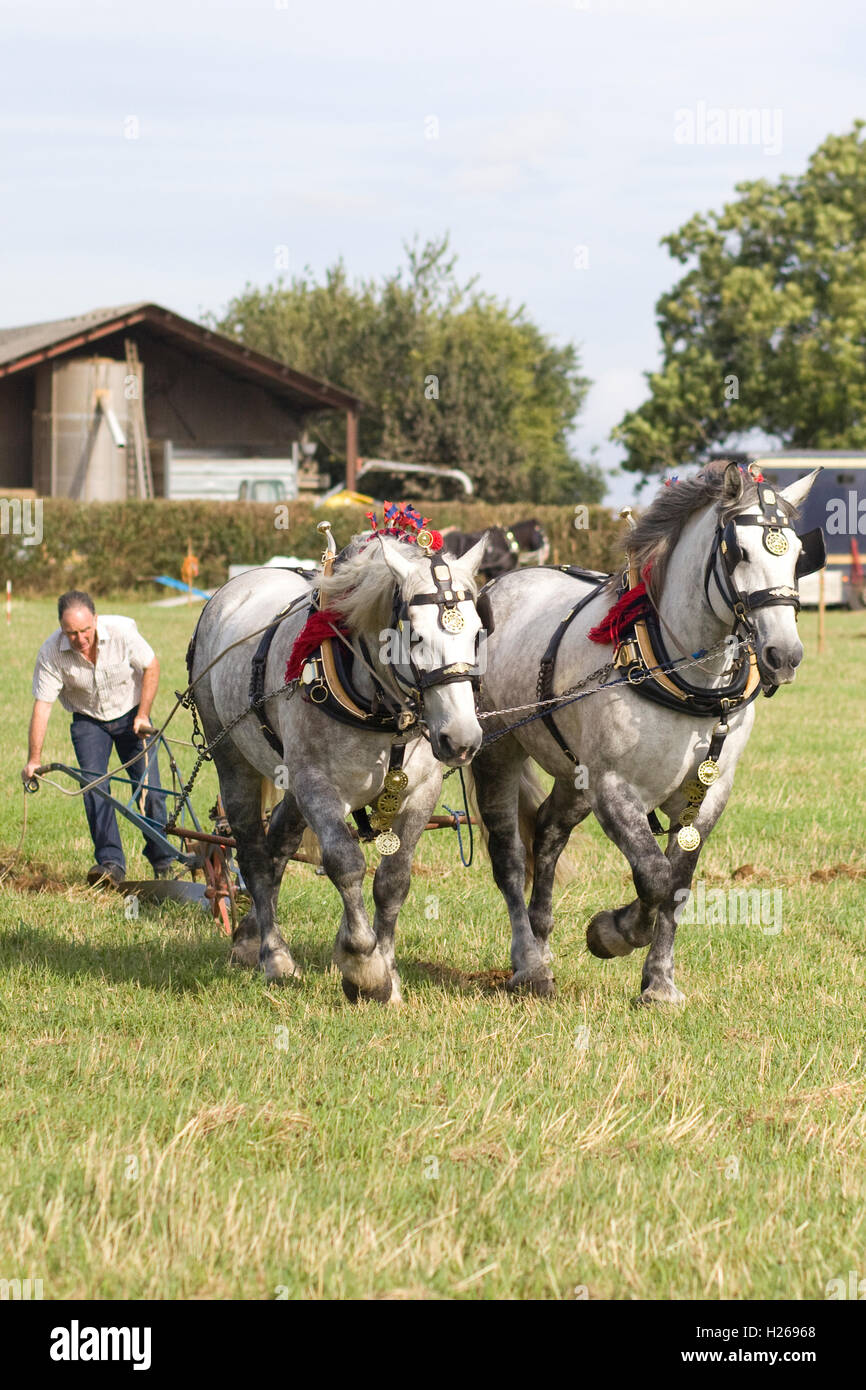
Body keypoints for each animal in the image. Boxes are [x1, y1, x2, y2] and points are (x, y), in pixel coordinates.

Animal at [187, 527, 487, 1002]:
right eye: (415, 638)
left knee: (277, 847)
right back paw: (273, 954)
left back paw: (250, 934)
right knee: (253, 853)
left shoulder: (421, 792)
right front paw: (364, 965)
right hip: (235, 762)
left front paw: (388, 973)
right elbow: (345, 863)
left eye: (478, 634)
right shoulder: (316, 784)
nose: (461, 739)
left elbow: (393, 881)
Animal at [467, 461, 824, 1004]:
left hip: (575, 774)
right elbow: (654, 877)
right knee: (508, 857)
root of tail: (497, 585)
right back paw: (529, 963)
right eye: (739, 552)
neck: (683, 673)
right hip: (498, 752)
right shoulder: (614, 789)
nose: (784, 655)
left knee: (548, 833)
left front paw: (658, 983)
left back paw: (543, 940)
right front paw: (612, 932)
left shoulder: (706, 793)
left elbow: (677, 884)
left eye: (799, 555)